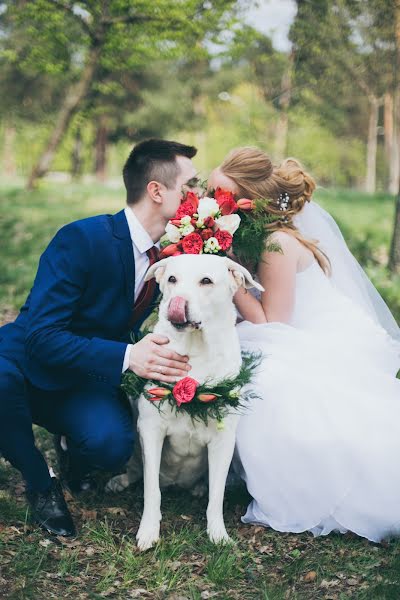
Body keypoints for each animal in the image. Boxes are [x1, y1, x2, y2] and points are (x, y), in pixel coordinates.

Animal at [106, 251, 262, 552]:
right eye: (172, 279)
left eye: (206, 281)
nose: (176, 303)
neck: (195, 351)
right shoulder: (151, 430)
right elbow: (151, 491)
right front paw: (148, 531)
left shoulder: (224, 441)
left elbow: (217, 495)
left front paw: (218, 534)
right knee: (138, 470)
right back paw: (121, 480)